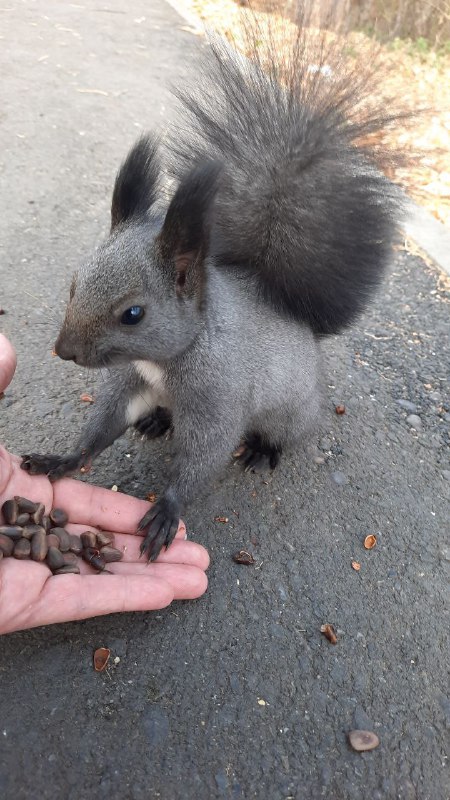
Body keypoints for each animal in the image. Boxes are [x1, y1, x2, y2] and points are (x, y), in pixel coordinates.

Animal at [20, 12, 404, 564]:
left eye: (133, 313)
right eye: (74, 284)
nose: (64, 350)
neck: (166, 359)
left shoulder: (218, 394)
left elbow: (206, 452)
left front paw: (167, 509)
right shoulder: (128, 382)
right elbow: (104, 424)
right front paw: (62, 459)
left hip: (292, 409)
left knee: (286, 431)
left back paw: (264, 449)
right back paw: (156, 421)